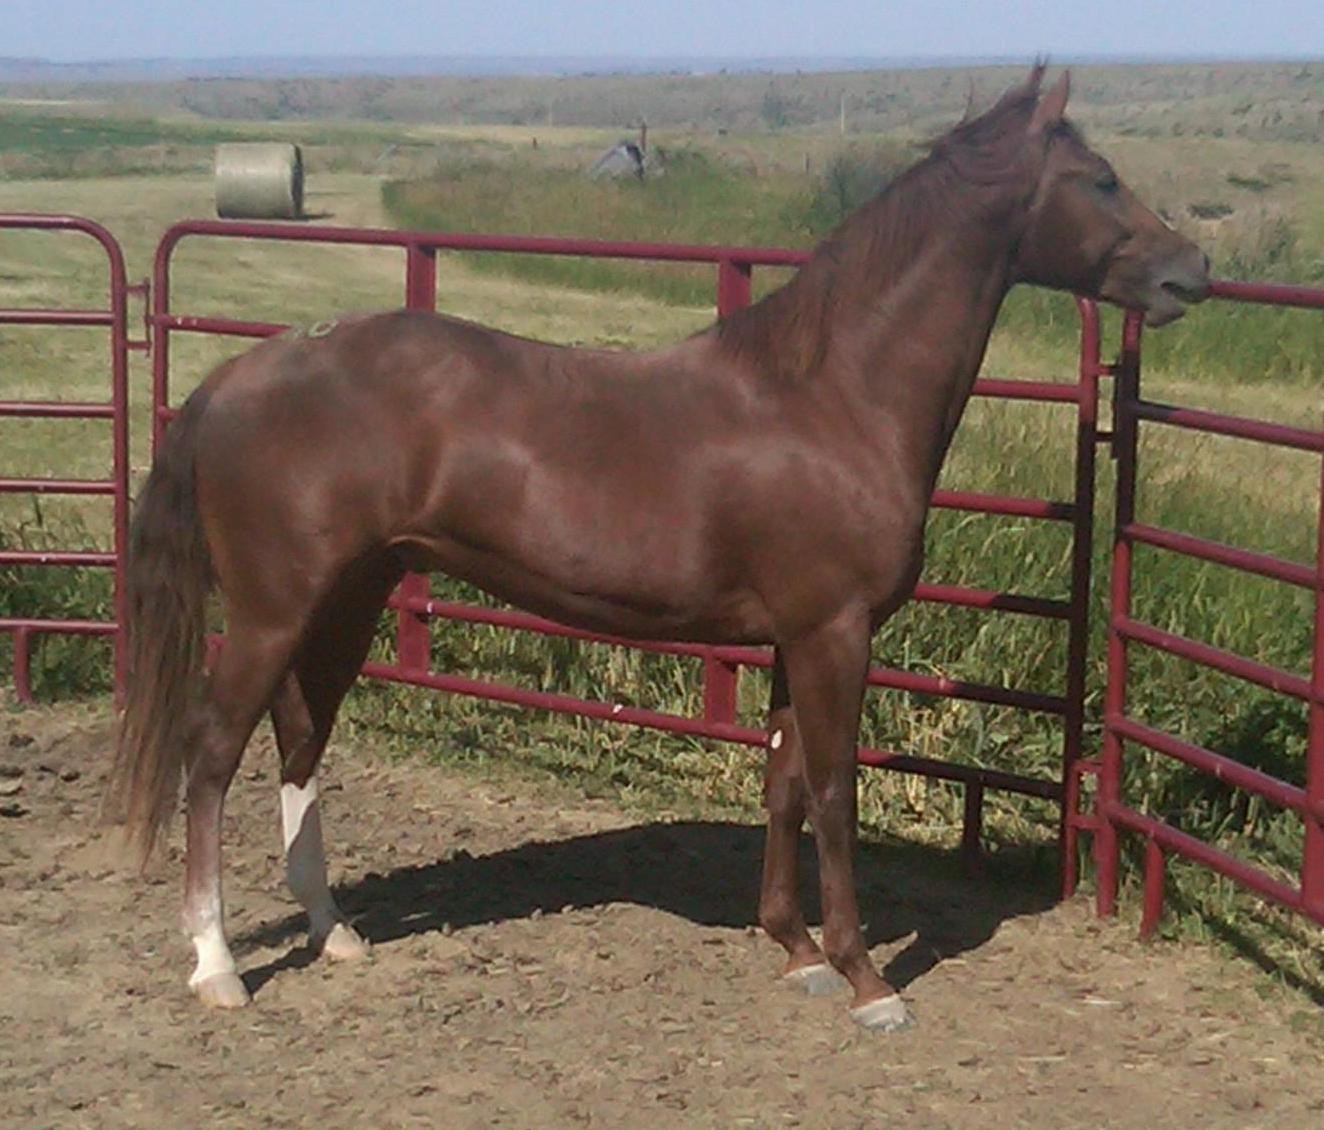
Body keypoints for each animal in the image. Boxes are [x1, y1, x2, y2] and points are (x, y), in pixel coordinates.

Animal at [107, 67, 1209, 1029]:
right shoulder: (835, 632)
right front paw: (865, 978)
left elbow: (783, 786)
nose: (1189, 270)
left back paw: (334, 931)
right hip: (271, 610)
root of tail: (236, 378)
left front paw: (795, 949)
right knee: (212, 752)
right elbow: (834, 793)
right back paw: (216, 966)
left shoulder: (792, 637)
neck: (831, 396)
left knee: (300, 738)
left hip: (349, 596)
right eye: (1100, 176)